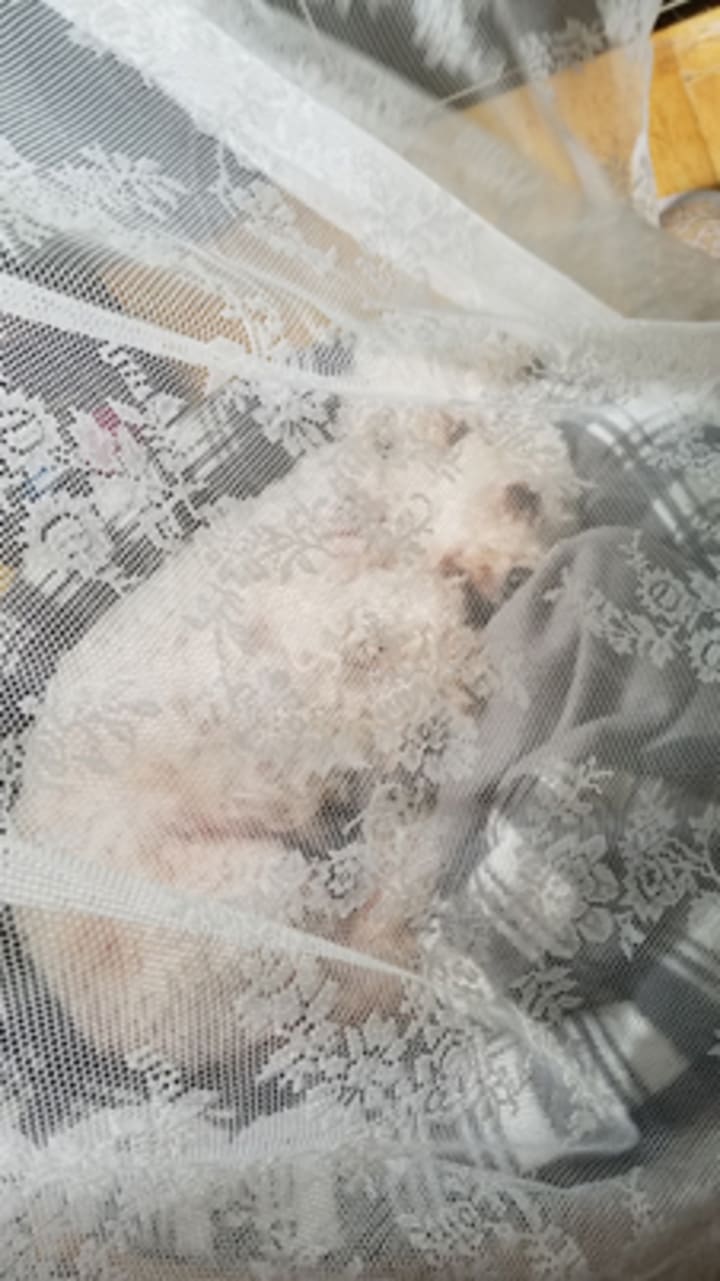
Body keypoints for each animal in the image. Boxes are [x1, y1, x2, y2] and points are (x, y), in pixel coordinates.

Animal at [12, 402, 577, 1067]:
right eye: (522, 496)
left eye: (551, 514)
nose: (526, 577)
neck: (368, 515)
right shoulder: (314, 639)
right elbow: (410, 644)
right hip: (258, 888)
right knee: (359, 941)